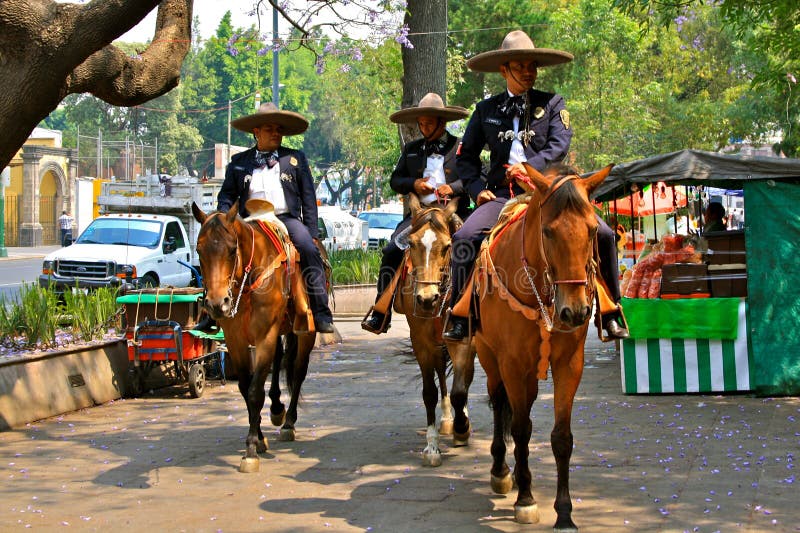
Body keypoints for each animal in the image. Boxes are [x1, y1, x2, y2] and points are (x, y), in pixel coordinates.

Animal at [192, 201, 318, 474]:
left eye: (231, 250)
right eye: (199, 250)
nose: (217, 304)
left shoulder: (265, 335)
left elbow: (254, 391)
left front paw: (250, 448)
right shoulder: (235, 339)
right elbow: (244, 387)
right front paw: (259, 437)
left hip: (304, 333)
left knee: (298, 372)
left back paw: (288, 422)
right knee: (280, 361)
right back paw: (277, 408)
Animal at [390, 192, 472, 466]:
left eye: (447, 246)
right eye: (411, 244)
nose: (427, 298)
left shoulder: (464, 339)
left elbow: (461, 388)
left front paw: (462, 428)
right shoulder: (421, 340)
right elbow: (430, 392)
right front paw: (432, 447)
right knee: (442, 374)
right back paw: (447, 419)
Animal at [468, 163, 612, 528]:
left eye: (593, 230)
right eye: (548, 231)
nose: (575, 311)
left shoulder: (569, 364)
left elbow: (561, 437)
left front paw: (565, 514)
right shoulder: (511, 363)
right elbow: (519, 429)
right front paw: (526, 500)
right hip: (489, 358)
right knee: (499, 403)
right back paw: (502, 472)